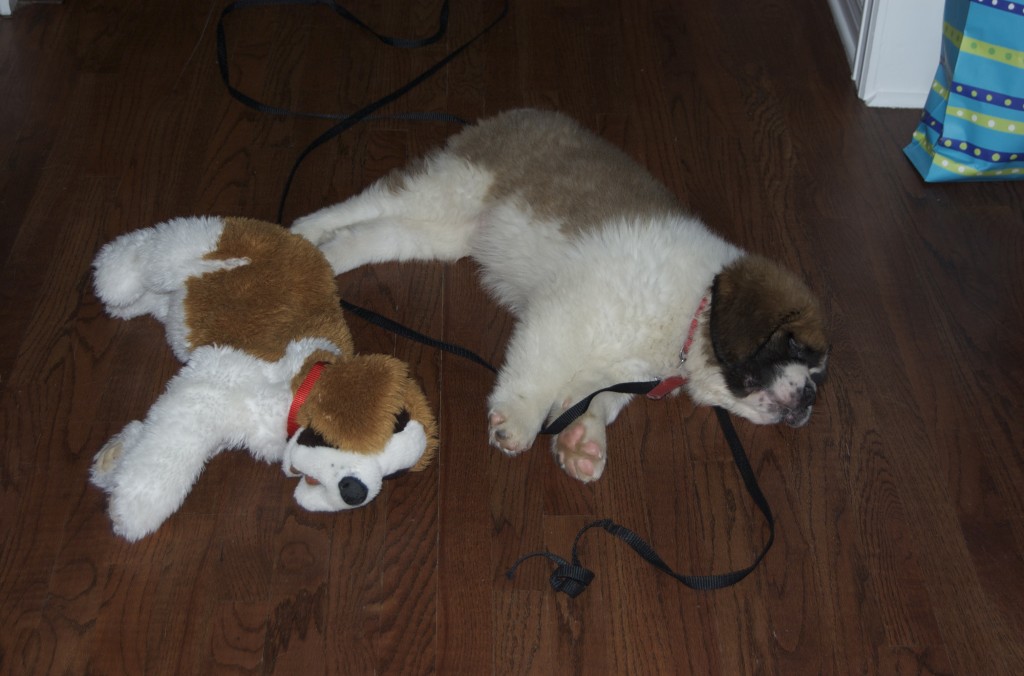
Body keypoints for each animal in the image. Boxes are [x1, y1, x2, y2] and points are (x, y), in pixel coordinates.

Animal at [290, 108, 831, 483]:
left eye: (816, 373)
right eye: (795, 346)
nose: (809, 398)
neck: (695, 312)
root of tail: (514, 115)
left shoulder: (624, 369)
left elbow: (596, 397)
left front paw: (582, 439)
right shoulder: (565, 310)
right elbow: (541, 369)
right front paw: (519, 421)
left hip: (443, 232)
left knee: (377, 234)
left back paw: (330, 255)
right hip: (452, 186)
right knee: (366, 204)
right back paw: (303, 233)